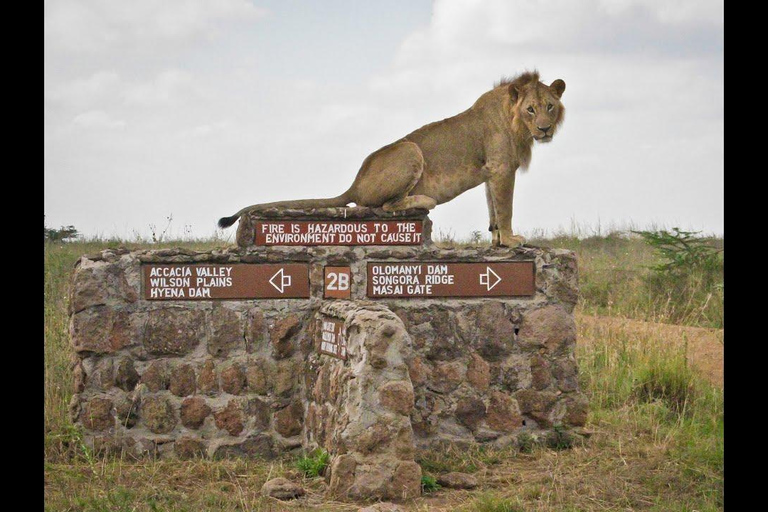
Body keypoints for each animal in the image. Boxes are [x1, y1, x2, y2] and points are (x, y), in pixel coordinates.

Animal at [216, 71, 564, 247]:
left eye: (550, 106)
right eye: (531, 109)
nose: (545, 129)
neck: (516, 122)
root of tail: (355, 183)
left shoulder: (491, 172)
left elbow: (493, 207)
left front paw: (496, 239)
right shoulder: (502, 169)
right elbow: (505, 208)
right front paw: (511, 240)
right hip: (410, 150)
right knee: (383, 206)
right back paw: (423, 200)